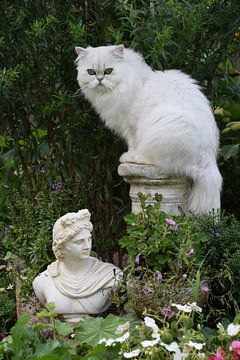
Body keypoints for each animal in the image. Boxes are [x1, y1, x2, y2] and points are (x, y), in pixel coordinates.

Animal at [74, 44, 221, 214]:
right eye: (91, 72)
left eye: (108, 71)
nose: (99, 79)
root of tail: (209, 163)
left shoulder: (131, 125)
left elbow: (133, 143)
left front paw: (129, 155)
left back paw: (135, 158)